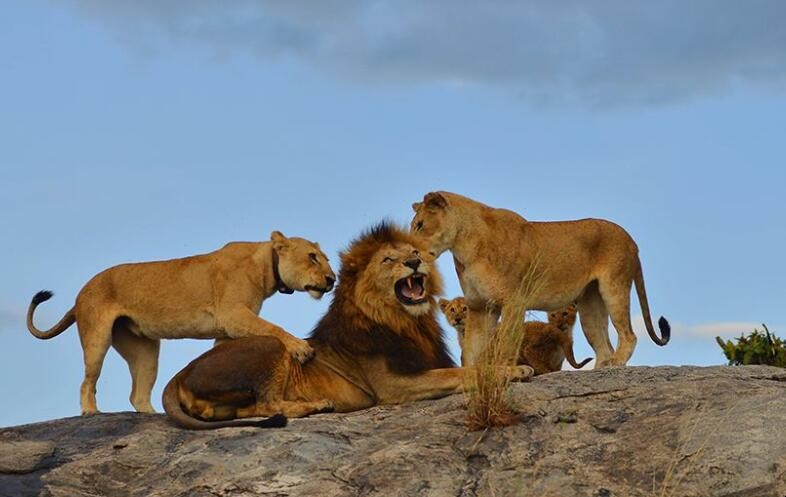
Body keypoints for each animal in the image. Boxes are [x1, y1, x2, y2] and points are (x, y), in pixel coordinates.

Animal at [26, 232, 334, 414]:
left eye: (326, 259)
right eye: (312, 257)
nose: (332, 279)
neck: (266, 264)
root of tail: (82, 291)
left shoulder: (227, 329)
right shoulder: (233, 315)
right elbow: (273, 328)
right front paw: (301, 348)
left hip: (144, 351)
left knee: (137, 394)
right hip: (96, 338)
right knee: (88, 381)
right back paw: (90, 411)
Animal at [162, 223, 528, 428]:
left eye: (413, 251)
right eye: (389, 259)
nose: (414, 261)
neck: (407, 322)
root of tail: (179, 374)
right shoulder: (393, 386)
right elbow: (461, 373)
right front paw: (515, 370)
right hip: (270, 345)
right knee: (267, 402)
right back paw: (316, 405)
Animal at [410, 192, 668, 366]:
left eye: (420, 225)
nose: (410, 253)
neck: (463, 247)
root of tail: (631, 241)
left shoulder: (513, 302)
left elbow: (506, 345)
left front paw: (505, 373)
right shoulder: (480, 306)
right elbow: (471, 350)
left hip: (614, 287)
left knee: (629, 335)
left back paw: (617, 362)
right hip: (590, 304)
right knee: (603, 347)